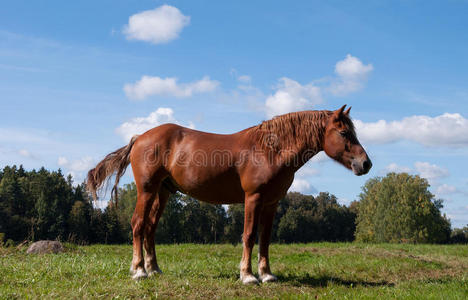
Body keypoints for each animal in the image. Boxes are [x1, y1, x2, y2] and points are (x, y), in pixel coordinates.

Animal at [86, 105, 372, 284]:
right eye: (344, 132)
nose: (366, 164)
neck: (270, 149)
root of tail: (139, 137)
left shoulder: (272, 203)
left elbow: (265, 239)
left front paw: (267, 275)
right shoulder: (253, 198)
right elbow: (249, 235)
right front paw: (248, 276)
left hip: (163, 192)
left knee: (150, 229)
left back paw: (154, 269)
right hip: (146, 190)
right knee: (138, 224)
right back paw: (139, 271)